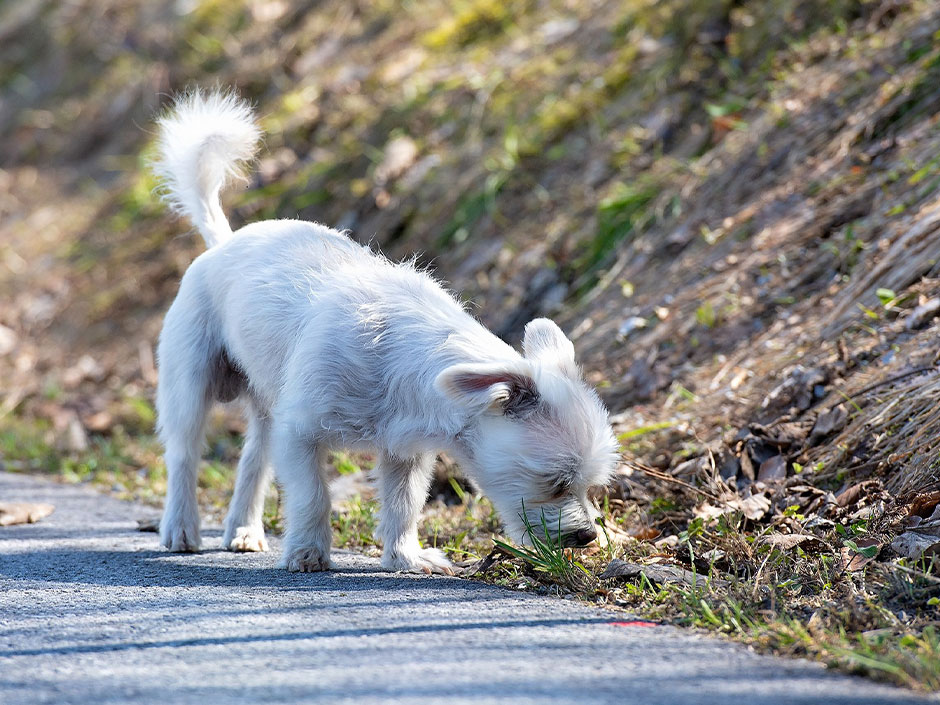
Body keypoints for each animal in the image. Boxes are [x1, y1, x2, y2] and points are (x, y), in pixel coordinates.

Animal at [151, 88, 620, 572]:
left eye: (588, 484)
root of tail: (223, 243)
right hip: (190, 389)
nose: (587, 536)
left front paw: (405, 557)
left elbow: (404, 504)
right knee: (183, 456)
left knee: (253, 461)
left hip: (267, 409)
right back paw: (181, 528)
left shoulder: (403, 452)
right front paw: (308, 552)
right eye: (556, 482)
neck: (399, 361)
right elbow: (314, 496)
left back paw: (243, 530)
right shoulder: (299, 433)